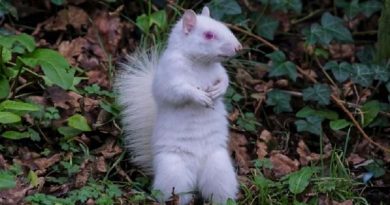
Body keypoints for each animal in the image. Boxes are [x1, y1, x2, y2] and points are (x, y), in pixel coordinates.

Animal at [116, 5, 241, 204]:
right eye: (208, 35)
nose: (238, 47)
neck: (200, 64)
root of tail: (197, 174)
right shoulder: (169, 75)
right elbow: (178, 91)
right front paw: (199, 96)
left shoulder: (218, 71)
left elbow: (225, 79)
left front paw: (218, 90)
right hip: (174, 173)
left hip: (219, 172)